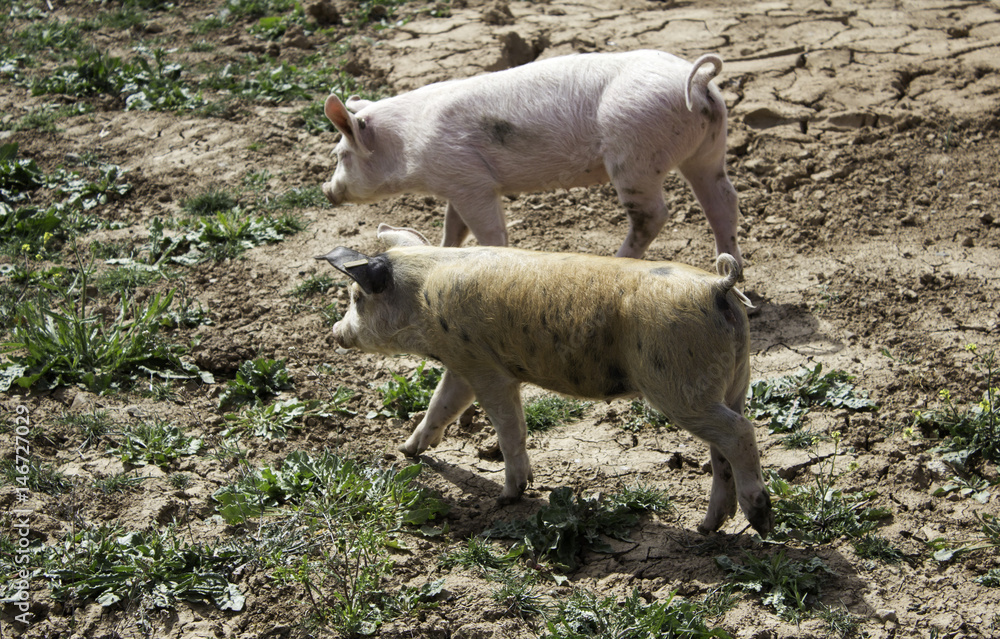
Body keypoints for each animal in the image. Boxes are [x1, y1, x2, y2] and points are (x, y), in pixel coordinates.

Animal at [316, 224, 772, 536]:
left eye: (357, 298)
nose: (335, 334)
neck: (422, 296)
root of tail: (718, 285)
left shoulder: (486, 370)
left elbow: (509, 429)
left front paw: (509, 497)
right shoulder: (461, 366)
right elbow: (439, 407)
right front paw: (407, 450)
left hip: (678, 385)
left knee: (740, 433)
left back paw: (760, 518)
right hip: (732, 381)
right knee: (722, 450)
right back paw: (706, 528)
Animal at [322, 49, 743, 267]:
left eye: (340, 154)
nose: (327, 190)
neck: (408, 143)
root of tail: (698, 82)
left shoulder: (470, 181)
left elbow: (488, 233)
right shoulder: (460, 183)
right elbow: (453, 227)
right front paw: (444, 250)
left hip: (634, 155)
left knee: (653, 215)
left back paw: (618, 258)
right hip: (709, 148)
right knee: (723, 200)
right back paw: (736, 278)